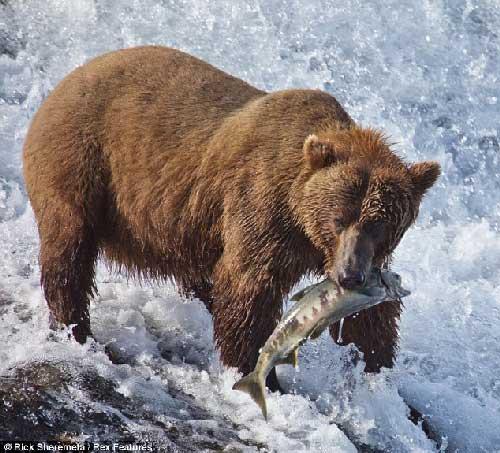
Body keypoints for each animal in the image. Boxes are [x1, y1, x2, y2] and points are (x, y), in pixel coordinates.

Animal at [23, 47, 440, 390]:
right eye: (338, 219)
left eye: (379, 225)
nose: (349, 276)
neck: (302, 224)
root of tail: (68, 78)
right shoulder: (261, 208)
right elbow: (247, 287)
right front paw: (261, 374)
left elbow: (369, 322)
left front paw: (379, 375)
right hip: (83, 164)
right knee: (69, 251)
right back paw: (76, 329)